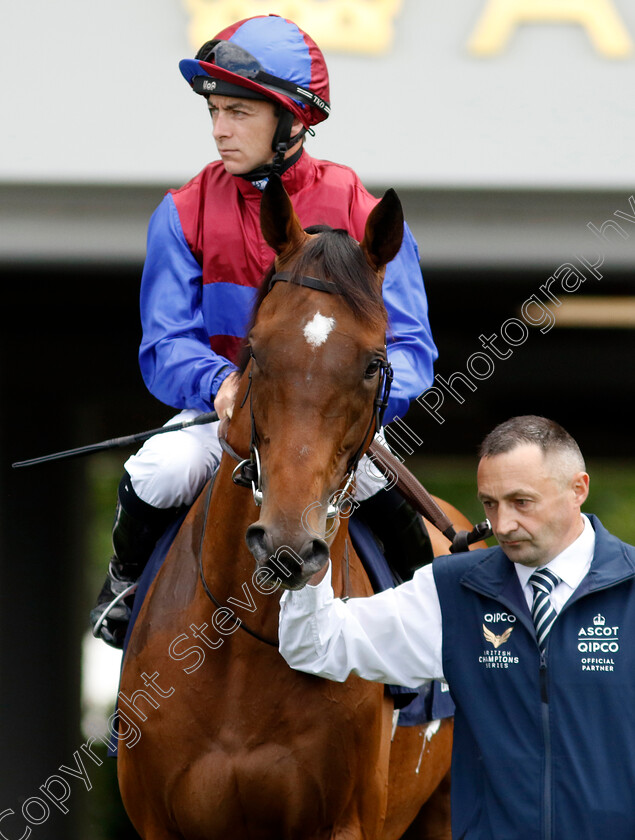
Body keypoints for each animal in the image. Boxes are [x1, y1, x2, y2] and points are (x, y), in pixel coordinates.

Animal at [117, 177, 482, 840]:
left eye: (374, 364)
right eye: (256, 352)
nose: (288, 543)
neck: (240, 650)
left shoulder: (345, 821)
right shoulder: (159, 821)